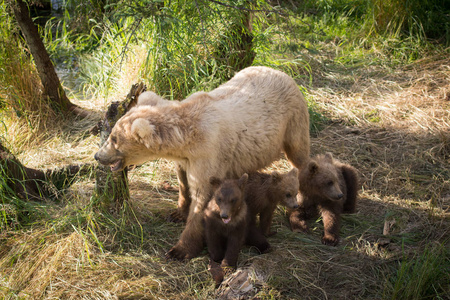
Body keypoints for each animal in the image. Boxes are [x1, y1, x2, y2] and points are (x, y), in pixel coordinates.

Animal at [94, 67, 312, 258]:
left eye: (114, 139)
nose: (98, 155)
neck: (186, 141)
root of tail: (281, 72)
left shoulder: (208, 156)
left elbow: (202, 198)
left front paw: (179, 250)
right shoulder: (185, 160)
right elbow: (183, 183)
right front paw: (177, 213)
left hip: (293, 121)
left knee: (300, 157)